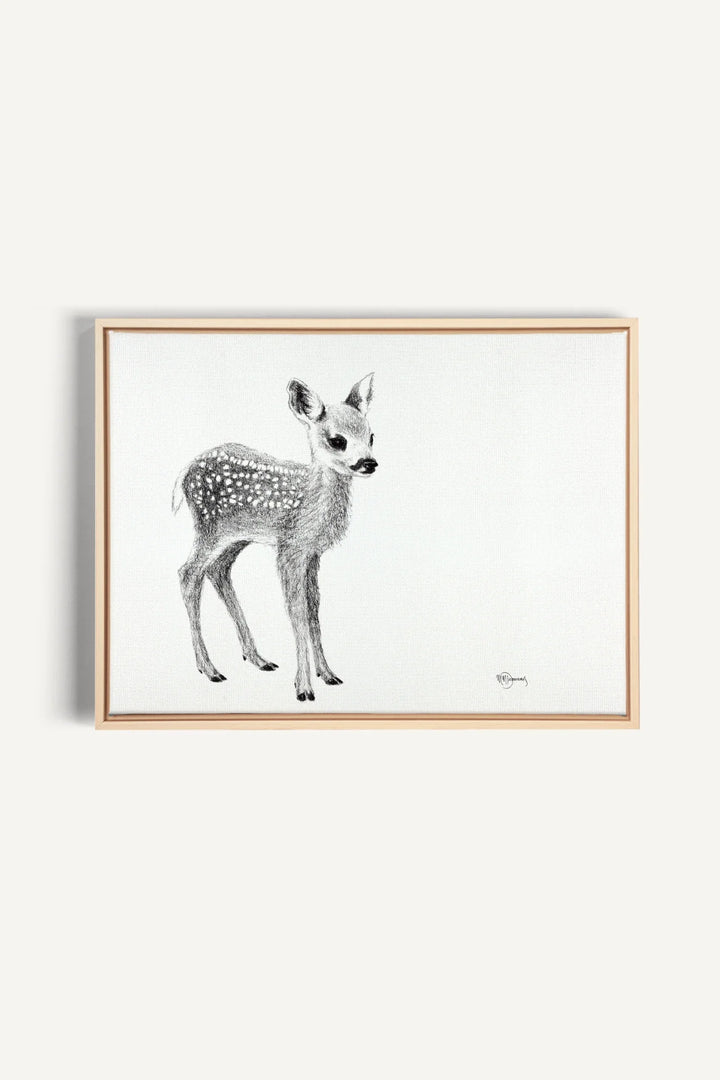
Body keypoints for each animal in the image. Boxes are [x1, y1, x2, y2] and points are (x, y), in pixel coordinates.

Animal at [172, 374, 377, 701]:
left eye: (371, 436)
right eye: (337, 440)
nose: (369, 463)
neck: (312, 501)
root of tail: (185, 473)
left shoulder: (311, 552)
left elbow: (313, 608)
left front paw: (327, 674)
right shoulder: (290, 548)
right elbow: (296, 611)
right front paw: (303, 688)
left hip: (236, 536)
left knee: (218, 570)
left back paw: (257, 658)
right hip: (208, 527)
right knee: (188, 573)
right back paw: (210, 669)